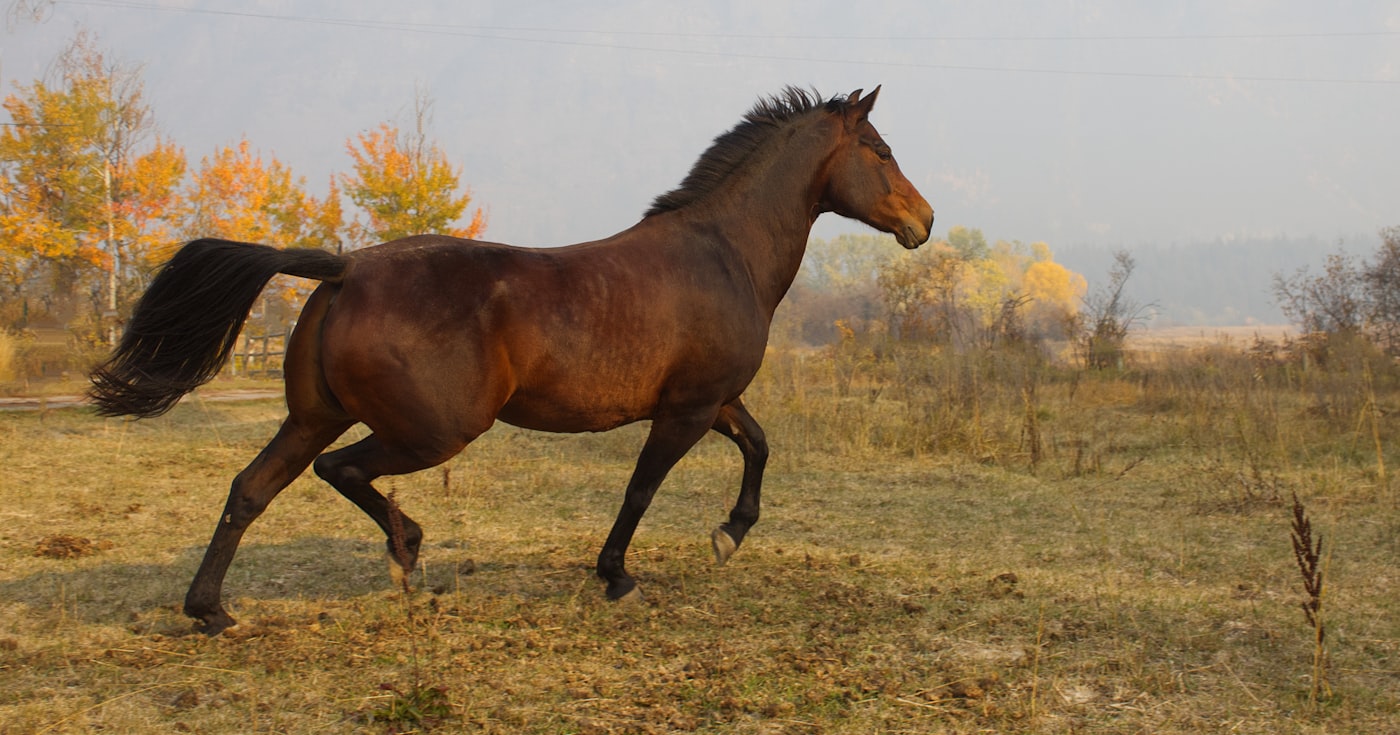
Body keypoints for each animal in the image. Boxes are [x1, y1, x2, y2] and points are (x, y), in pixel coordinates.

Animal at [89, 86, 934, 634]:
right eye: (881, 150)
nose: (924, 221)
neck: (722, 252)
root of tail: (346, 269)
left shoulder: (714, 400)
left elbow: (759, 447)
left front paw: (729, 534)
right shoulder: (687, 409)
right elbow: (642, 487)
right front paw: (618, 575)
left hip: (312, 416)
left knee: (251, 488)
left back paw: (214, 610)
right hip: (434, 429)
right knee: (344, 470)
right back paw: (406, 555)